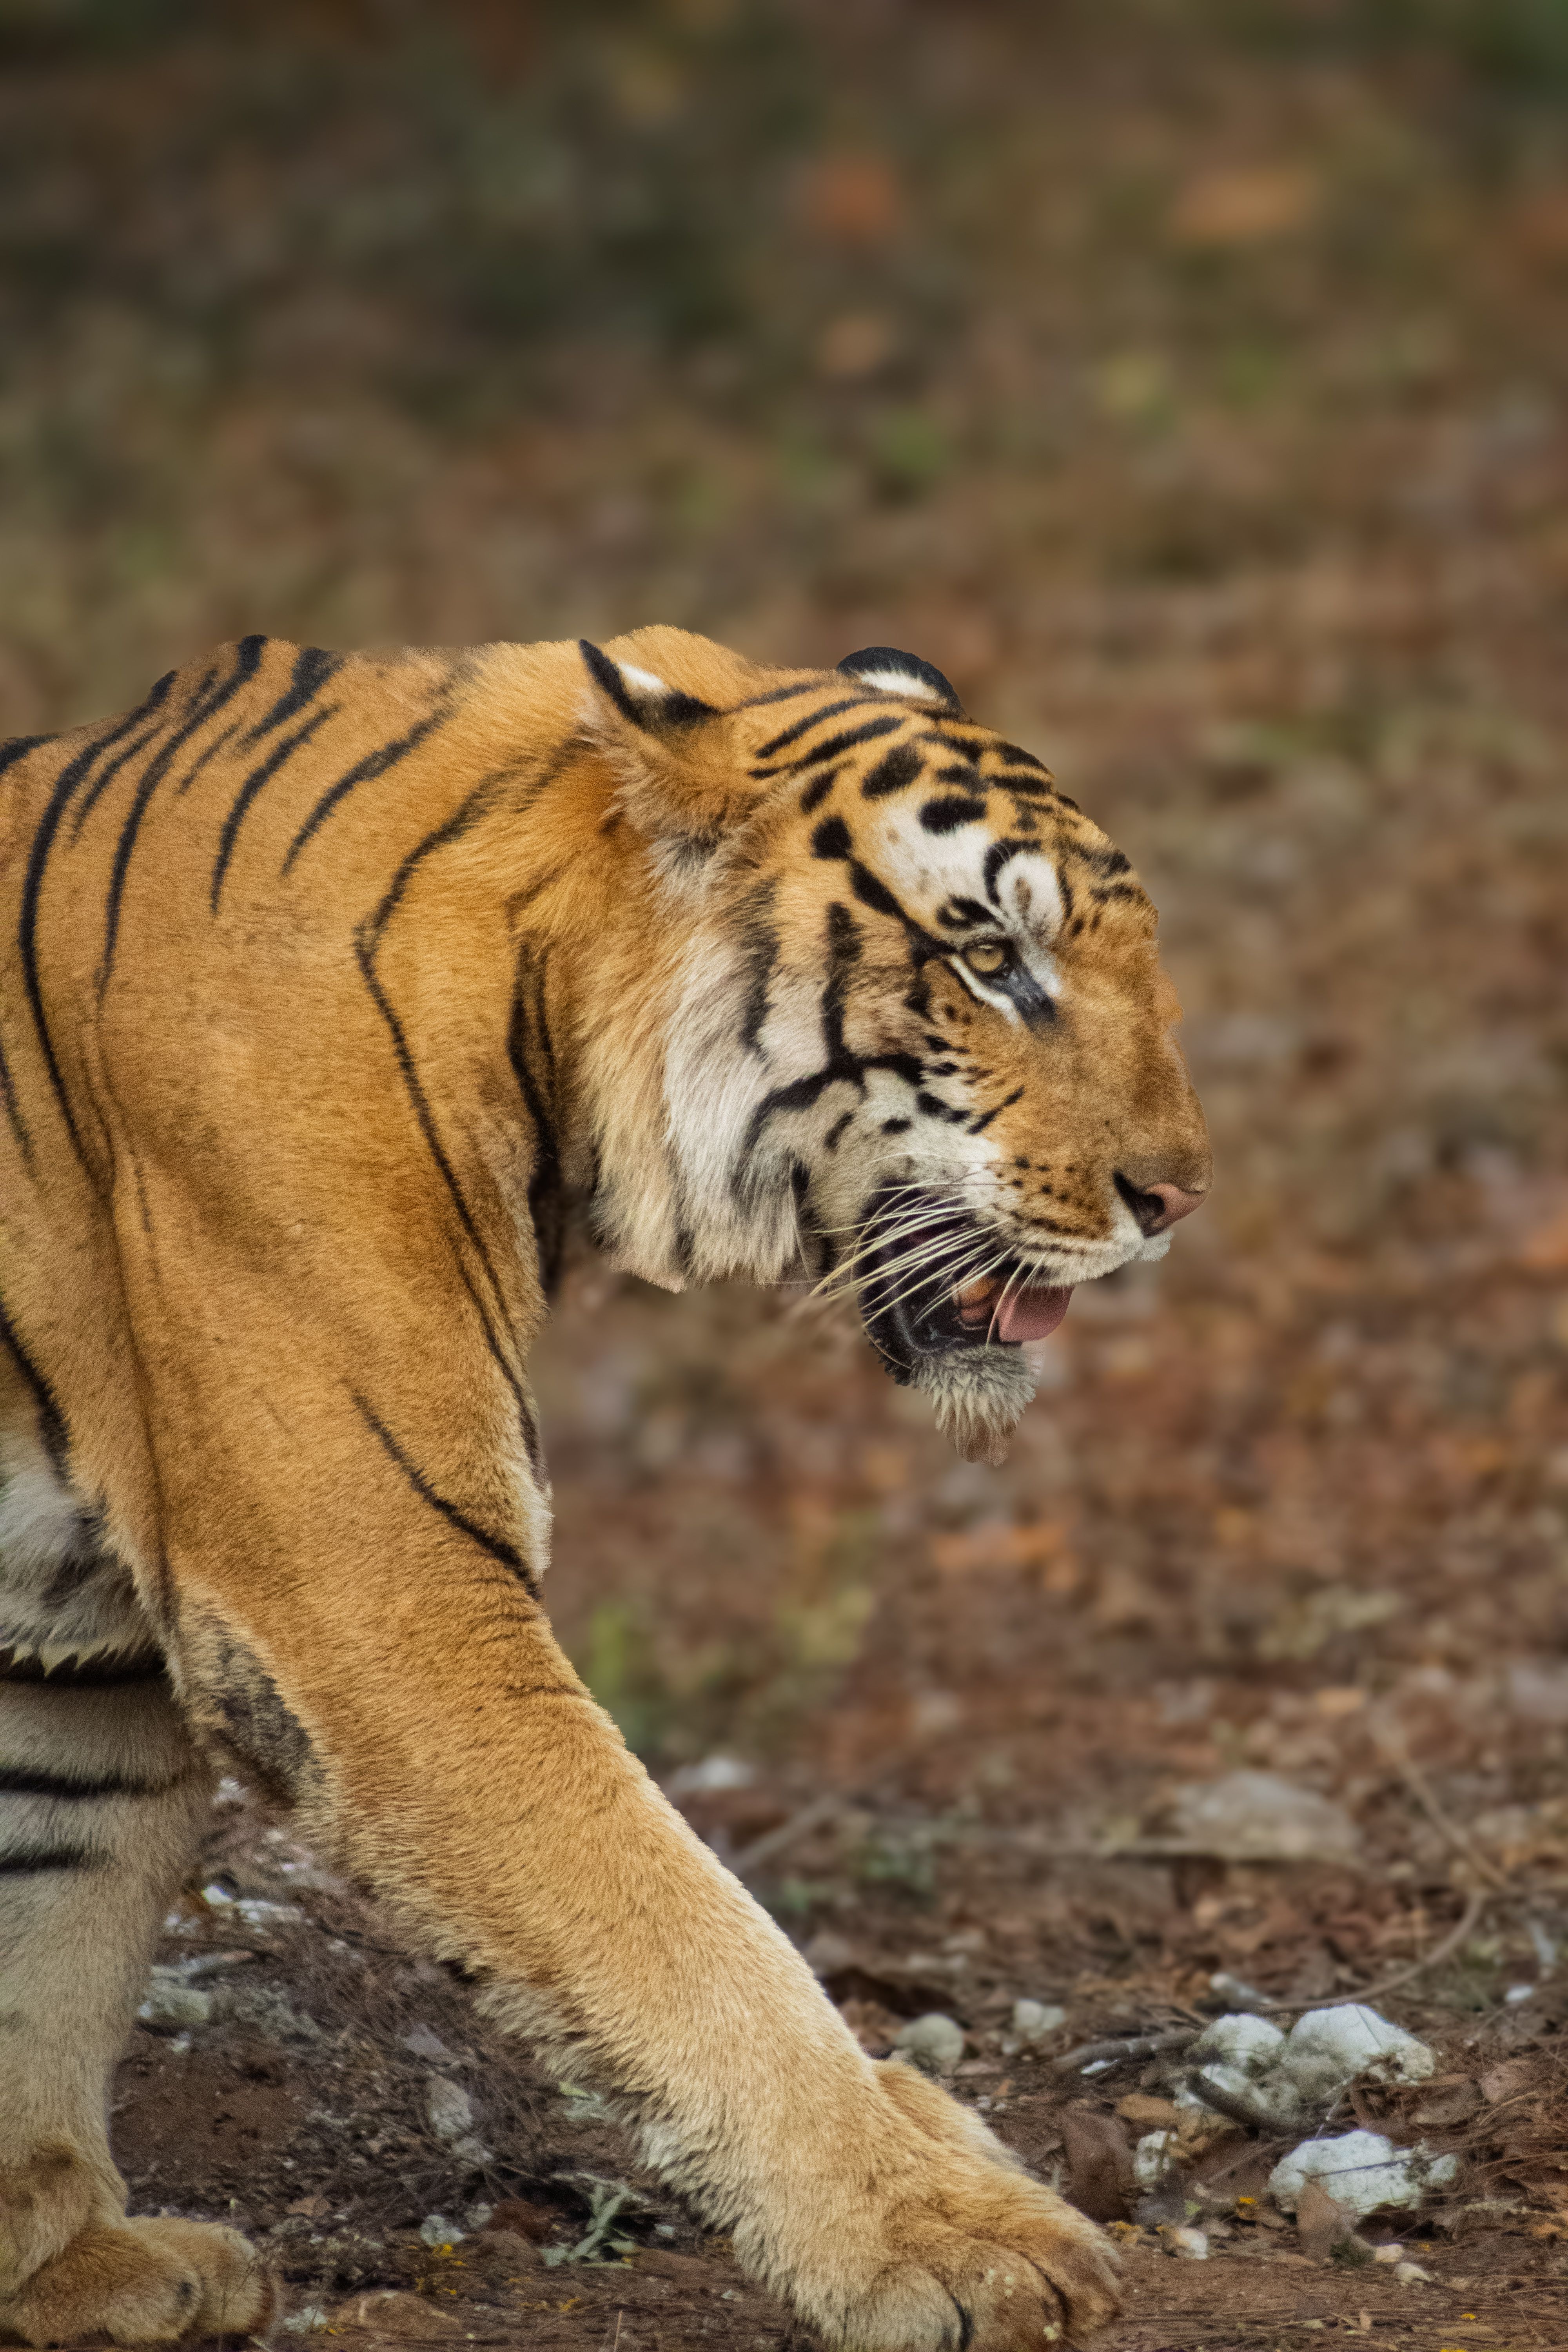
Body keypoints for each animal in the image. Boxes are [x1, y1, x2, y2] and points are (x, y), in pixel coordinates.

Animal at [0, 626, 1209, 2349]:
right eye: (987, 959)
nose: (1177, 1197)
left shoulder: (79, 1641)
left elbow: (48, 1914)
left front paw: (63, 2262)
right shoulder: (388, 1601)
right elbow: (677, 1926)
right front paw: (943, 2236)